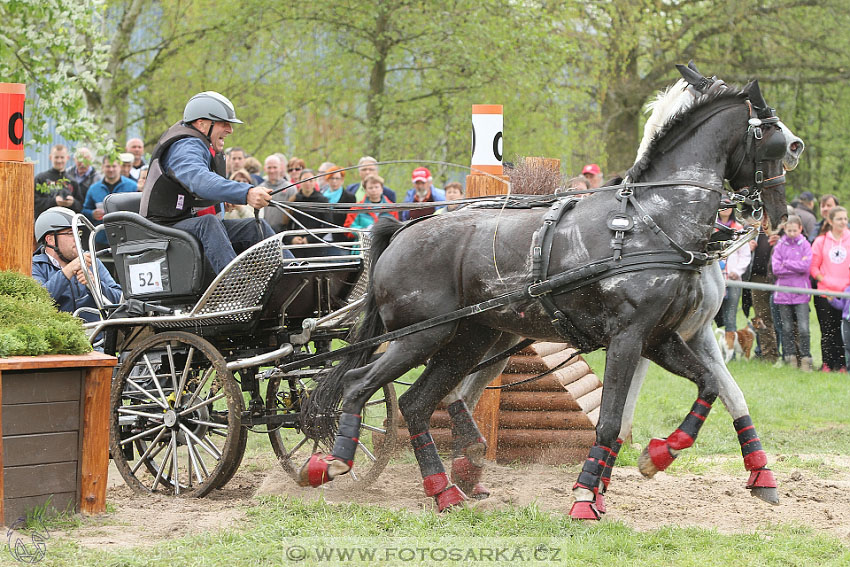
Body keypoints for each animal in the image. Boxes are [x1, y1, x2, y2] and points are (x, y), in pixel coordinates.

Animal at [298, 65, 800, 520]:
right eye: (773, 136)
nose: (776, 213)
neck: (654, 221)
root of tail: (403, 228)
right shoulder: (629, 337)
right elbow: (611, 420)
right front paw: (585, 497)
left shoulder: (661, 337)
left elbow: (712, 386)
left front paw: (661, 455)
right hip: (420, 337)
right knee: (360, 384)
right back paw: (334, 462)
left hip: (467, 340)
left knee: (416, 404)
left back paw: (444, 492)